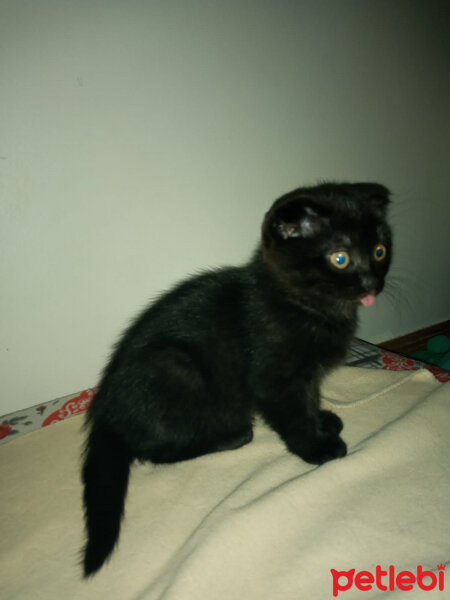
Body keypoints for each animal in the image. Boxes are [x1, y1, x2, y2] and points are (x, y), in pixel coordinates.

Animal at [82, 182, 392, 576]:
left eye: (380, 251)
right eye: (340, 258)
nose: (371, 282)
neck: (305, 307)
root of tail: (105, 409)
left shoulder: (305, 377)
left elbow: (308, 400)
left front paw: (323, 421)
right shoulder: (272, 380)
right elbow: (294, 417)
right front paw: (317, 447)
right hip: (174, 366)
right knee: (155, 449)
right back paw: (230, 436)